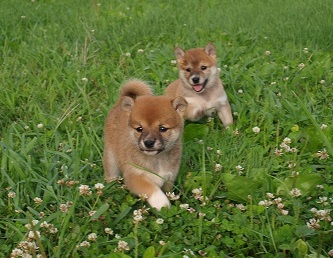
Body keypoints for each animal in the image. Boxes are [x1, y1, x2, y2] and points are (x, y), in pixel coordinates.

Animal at [102, 79, 187, 211]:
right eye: (139, 129)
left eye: (163, 129)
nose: (148, 142)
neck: (156, 160)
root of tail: (120, 101)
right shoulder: (134, 176)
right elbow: (151, 189)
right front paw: (161, 202)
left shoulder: (169, 178)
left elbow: (166, 191)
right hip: (111, 159)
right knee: (111, 174)